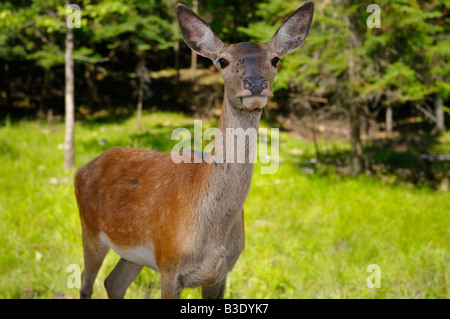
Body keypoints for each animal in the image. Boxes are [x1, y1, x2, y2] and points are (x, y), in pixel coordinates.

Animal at [74, 1, 312, 300]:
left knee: (113, 282)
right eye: (222, 61)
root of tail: (81, 170)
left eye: (275, 60)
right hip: (90, 230)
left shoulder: (221, 274)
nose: (256, 83)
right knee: (86, 282)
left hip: (133, 255)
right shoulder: (169, 265)